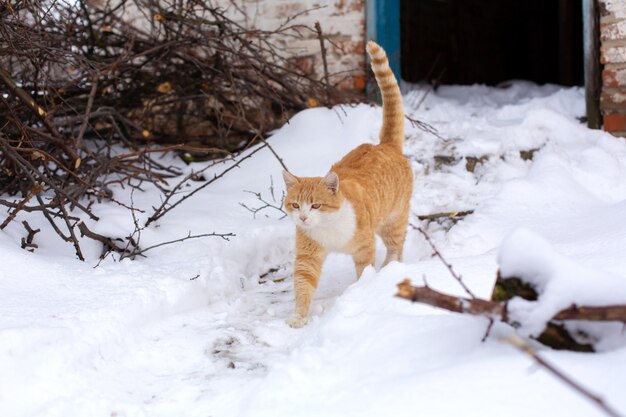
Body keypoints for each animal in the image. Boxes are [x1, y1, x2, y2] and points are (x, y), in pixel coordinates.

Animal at [282, 40, 410, 326]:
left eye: (315, 205)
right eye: (295, 205)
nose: (303, 217)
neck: (328, 228)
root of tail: (384, 145)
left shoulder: (363, 247)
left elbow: (364, 272)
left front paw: (361, 292)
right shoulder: (307, 257)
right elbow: (303, 286)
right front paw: (298, 317)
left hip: (393, 221)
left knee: (396, 247)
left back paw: (389, 269)